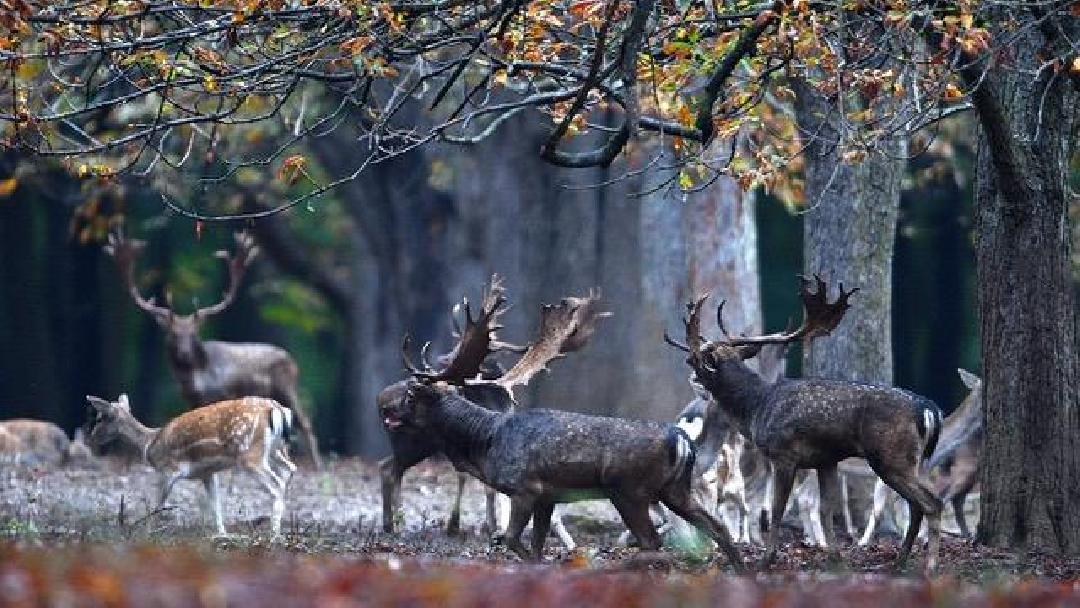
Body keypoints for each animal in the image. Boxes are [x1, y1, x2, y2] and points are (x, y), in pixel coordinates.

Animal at [84, 395, 295, 537]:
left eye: (100, 417)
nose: (91, 439)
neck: (149, 444)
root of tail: (276, 408)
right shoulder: (207, 473)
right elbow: (215, 504)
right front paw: (222, 534)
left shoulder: (168, 470)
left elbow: (158, 505)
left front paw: (145, 533)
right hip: (277, 450)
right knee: (290, 470)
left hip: (250, 454)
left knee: (276, 484)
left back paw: (274, 534)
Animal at [104, 231, 319, 468]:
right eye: (172, 334)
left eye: (193, 334)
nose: (184, 354)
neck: (197, 380)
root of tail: (292, 361)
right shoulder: (190, 399)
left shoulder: (223, 394)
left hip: (286, 388)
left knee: (306, 423)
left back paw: (317, 465)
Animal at [669, 278, 941, 574]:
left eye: (699, 358)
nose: (689, 364)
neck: (757, 408)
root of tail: (929, 410)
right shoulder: (826, 460)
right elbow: (825, 509)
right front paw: (834, 558)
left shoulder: (784, 455)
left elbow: (776, 509)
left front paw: (766, 560)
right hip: (910, 460)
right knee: (918, 505)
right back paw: (899, 563)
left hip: (892, 456)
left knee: (931, 503)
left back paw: (929, 566)